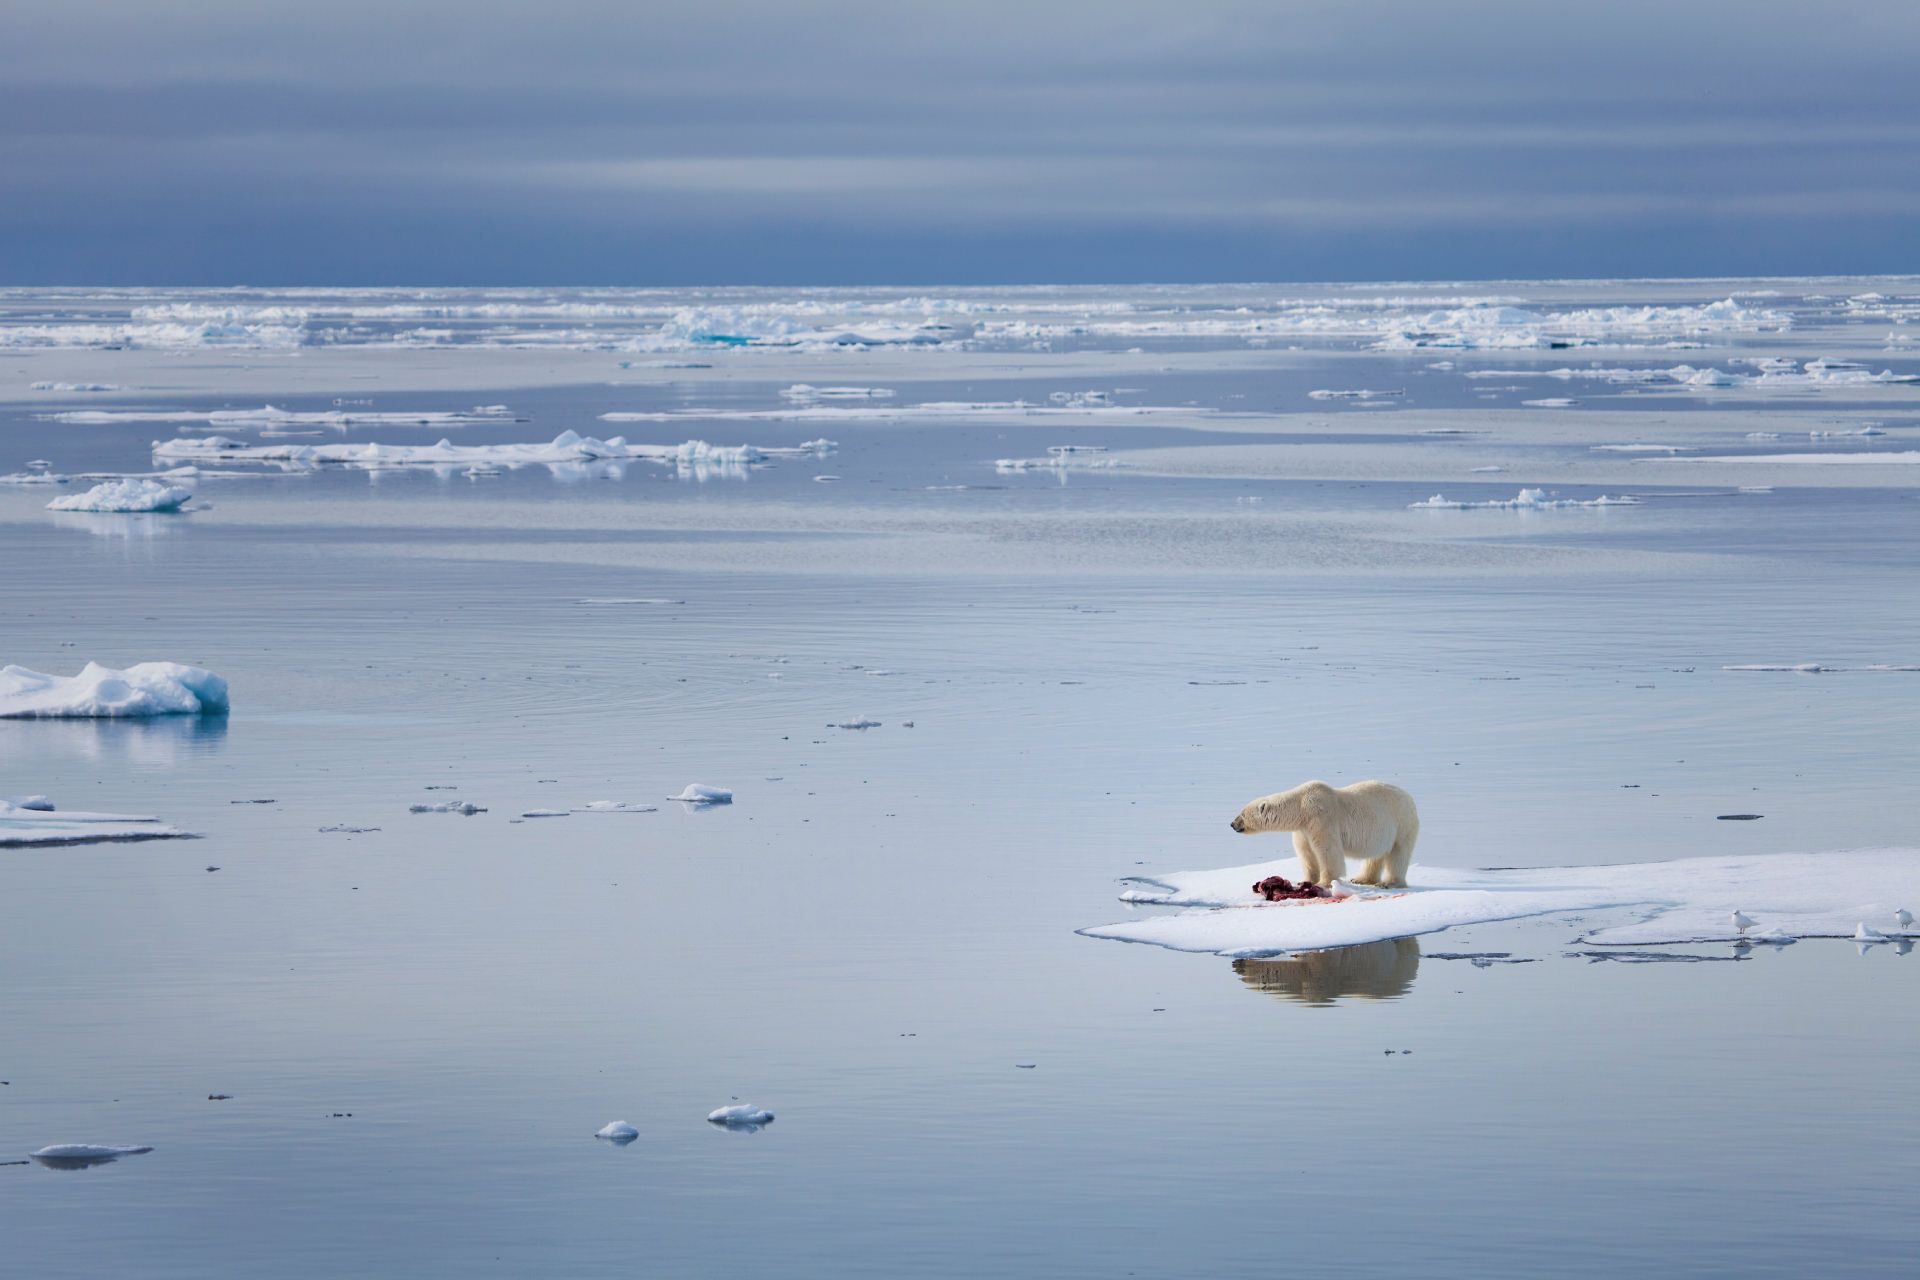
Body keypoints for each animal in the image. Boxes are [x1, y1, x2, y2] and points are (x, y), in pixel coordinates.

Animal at [1221, 782, 1420, 890]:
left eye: (1242, 814)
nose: (1232, 824)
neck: (1301, 806)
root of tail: (1410, 798)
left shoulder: (1321, 817)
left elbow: (1327, 850)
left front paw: (1324, 882)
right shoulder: (1302, 829)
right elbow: (1306, 853)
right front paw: (1306, 880)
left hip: (1402, 823)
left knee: (1398, 854)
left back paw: (1389, 883)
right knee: (1376, 855)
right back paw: (1362, 878)